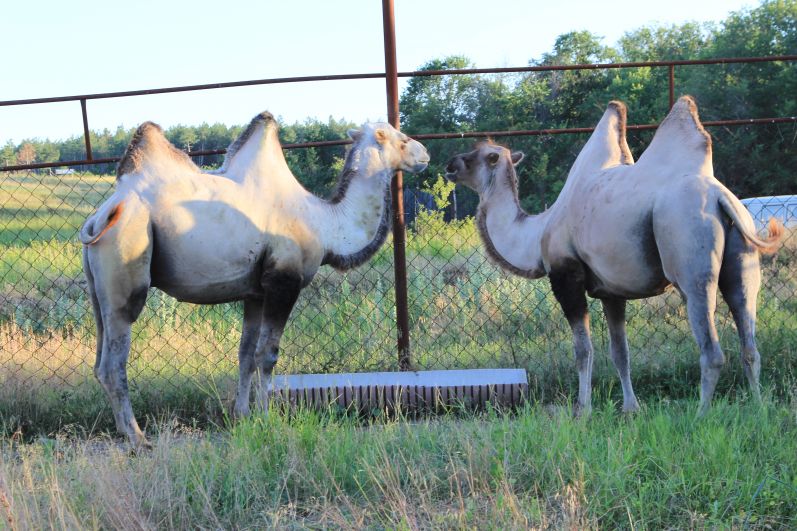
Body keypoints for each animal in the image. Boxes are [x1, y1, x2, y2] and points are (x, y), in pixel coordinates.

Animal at [81, 112, 430, 444]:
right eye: (400, 139)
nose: (424, 153)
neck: (326, 225)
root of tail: (102, 214)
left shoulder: (255, 293)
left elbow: (246, 354)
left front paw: (243, 416)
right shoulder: (284, 282)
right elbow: (268, 355)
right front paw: (266, 417)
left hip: (98, 288)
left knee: (99, 361)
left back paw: (124, 430)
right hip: (128, 257)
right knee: (115, 361)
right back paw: (137, 438)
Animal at [442, 97, 784, 418]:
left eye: (486, 155)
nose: (450, 163)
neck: (536, 234)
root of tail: (719, 196)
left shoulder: (566, 276)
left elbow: (583, 349)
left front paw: (582, 410)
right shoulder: (611, 292)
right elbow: (621, 352)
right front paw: (631, 408)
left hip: (690, 257)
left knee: (712, 349)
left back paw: (701, 415)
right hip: (743, 263)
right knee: (749, 339)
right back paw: (758, 407)